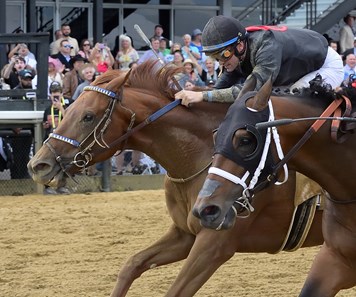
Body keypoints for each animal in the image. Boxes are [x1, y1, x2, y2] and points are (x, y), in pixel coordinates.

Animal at [27, 61, 322, 294]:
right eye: (69, 107)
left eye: (88, 116)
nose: (38, 164)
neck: (201, 157)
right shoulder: (184, 234)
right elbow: (131, 265)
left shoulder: (215, 245)